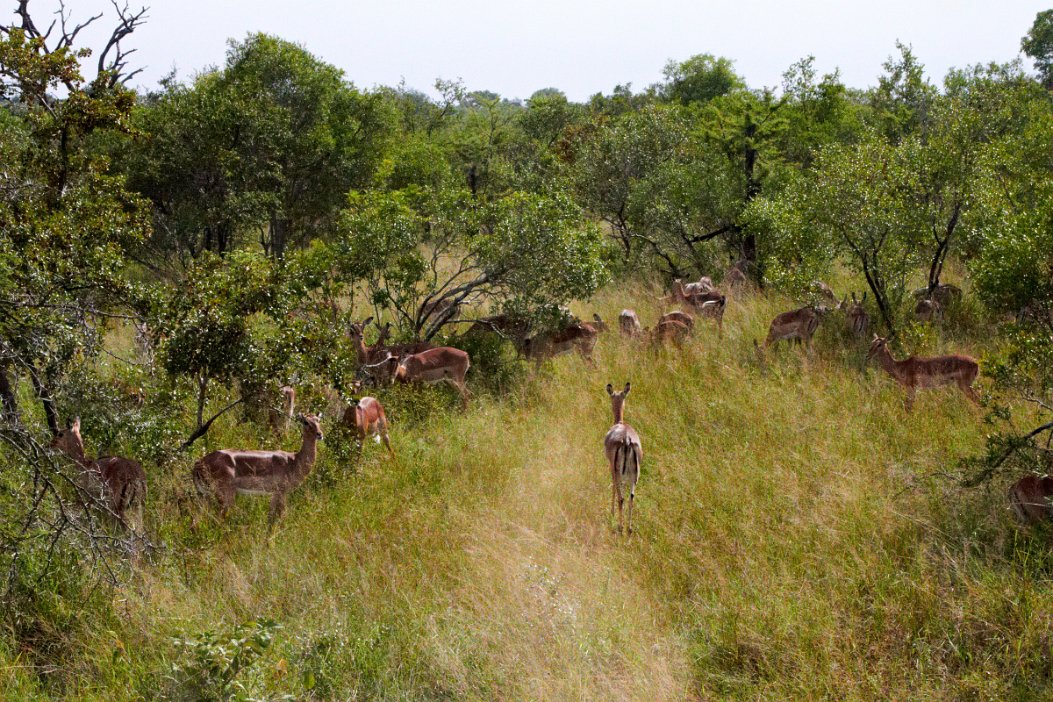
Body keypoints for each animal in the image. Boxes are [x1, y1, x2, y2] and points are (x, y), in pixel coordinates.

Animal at [189, 414, 320, 524]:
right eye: (306, 422)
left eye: (318, 420)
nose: (320, 434)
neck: (293, 460)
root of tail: (198, 464)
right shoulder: (281, 492)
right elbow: (282, 517)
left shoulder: (274, 493)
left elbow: (270, 517)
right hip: (224, 495)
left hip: (204, 495)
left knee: (196, 520)